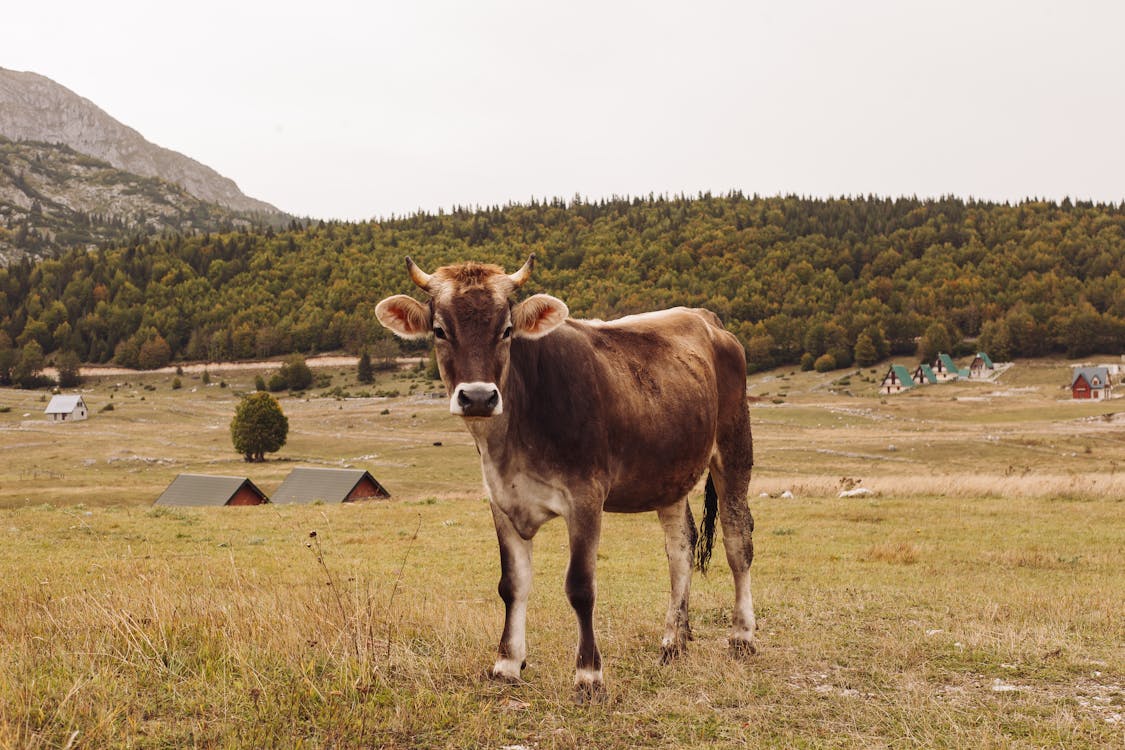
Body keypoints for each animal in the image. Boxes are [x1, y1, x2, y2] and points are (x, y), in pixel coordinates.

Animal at [375, 255, 756, 701]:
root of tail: (705, 318)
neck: (512, 441)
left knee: (737, 540)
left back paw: (742, 636)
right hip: (672, 472)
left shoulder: (585, 497)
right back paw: (673, 641)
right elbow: (512, 584)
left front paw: (588, 675)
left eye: (506, 330)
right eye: (439, 330)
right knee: (681, 548)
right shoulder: (501, 500)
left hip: (734, 446)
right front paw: (507, 664)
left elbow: (580, 587)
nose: (479, 397)